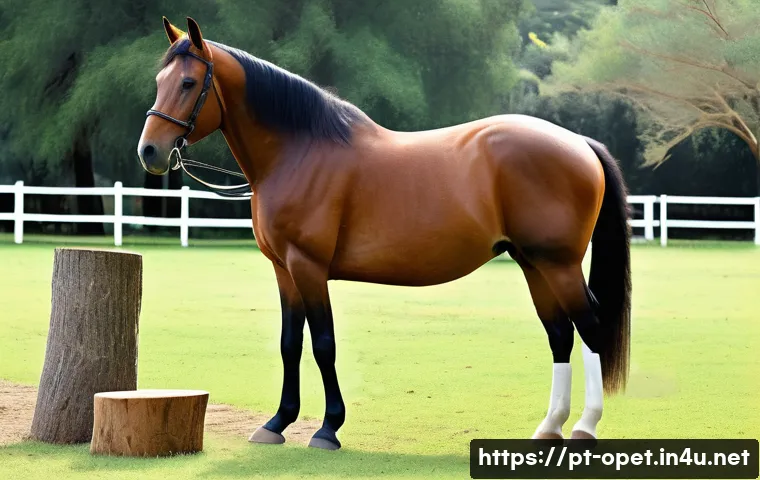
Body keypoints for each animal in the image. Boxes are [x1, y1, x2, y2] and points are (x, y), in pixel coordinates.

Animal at [137, 17, 632, 451]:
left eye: (188, 83)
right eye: (159, 80)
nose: (150, 151)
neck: (300, 150)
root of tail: (578, 142)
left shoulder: (308, 267)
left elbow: (323, 344)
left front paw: (328, 429)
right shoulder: (283, 270)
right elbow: (289, 344)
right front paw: (277, 423)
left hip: (559, 264)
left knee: (589, 328)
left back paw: (585, 427)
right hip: (533, 263)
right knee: (560, 334)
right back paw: (550, 427)